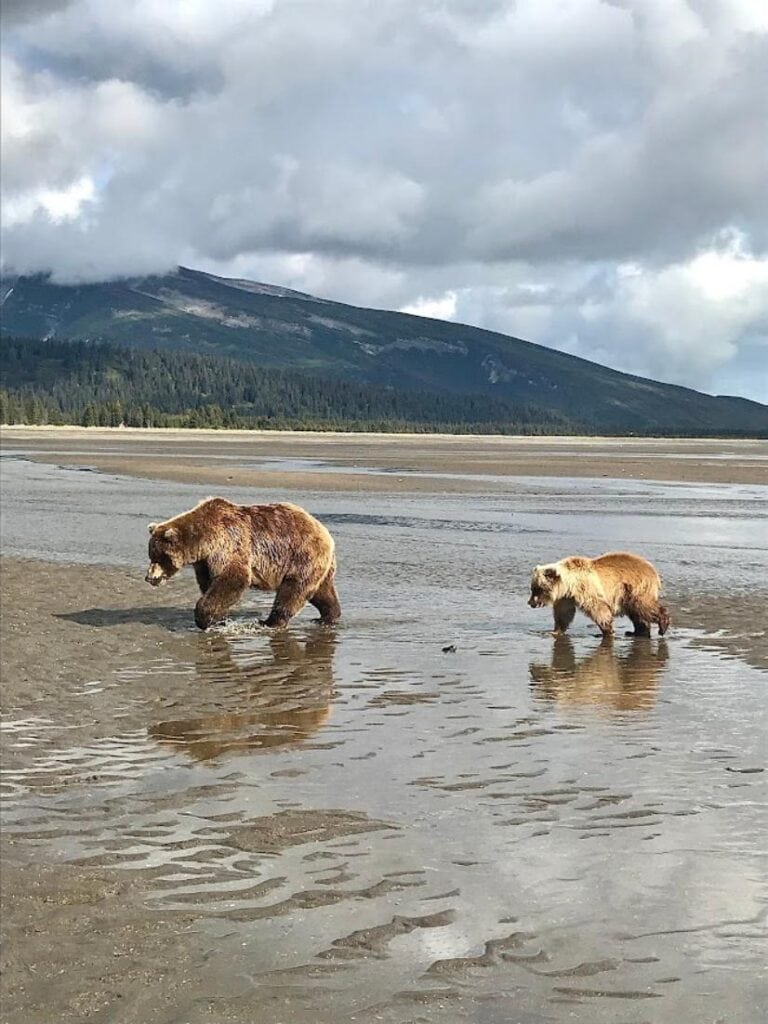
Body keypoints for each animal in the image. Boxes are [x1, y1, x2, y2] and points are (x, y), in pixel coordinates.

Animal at [145, 497, 341, 630]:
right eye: (151, 555)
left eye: (159, 557)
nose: (149, 577)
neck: (203, 543)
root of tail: (323, 530)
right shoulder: (204, 563)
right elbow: (210, 584)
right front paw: (219, 619)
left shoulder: (228, 544)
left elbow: (233, 579)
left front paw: (204, 619)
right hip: (319, 565)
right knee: (321, 591)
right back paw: (328, 616)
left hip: (301, 556)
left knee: (293, 590)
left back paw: (270, 622)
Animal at [527, 551, 669, 638]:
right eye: (532, 588)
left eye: (538, 589)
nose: (530, 603)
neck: (569, 584)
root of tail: (653, 570)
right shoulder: (565, 598)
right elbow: (563, 614)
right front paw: (555, 631)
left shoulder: (586, 589)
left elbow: (598, 608)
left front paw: (606, 630)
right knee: (637, 613)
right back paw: (636, 632)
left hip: (636, 589)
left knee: (644, 607)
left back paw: (662, 626)